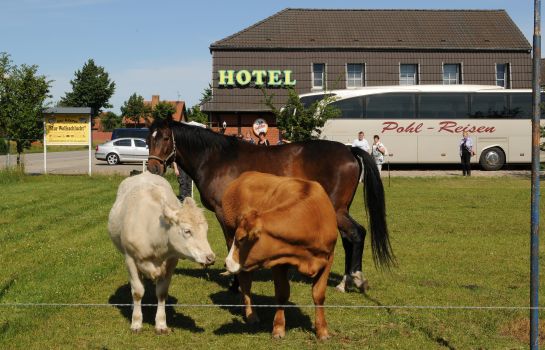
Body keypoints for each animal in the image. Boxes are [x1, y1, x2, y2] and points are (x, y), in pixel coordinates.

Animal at [108, 172, 215, 334]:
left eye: (206, 230)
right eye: (187, 231)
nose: (210, 257)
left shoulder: (171, 261)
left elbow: (162, 292)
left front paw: (161, 323)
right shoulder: (130, 259)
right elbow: (137, 291)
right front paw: (136, 322)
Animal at [146, 120, 392, 292]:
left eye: (166, 137)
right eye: (149, 138)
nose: (152, 168)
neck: (216, 159)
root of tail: (349, 150)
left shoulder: (224, 214)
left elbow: (230, 243)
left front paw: (235, 284)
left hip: (337, 210)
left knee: (357, 234)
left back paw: (355, 278)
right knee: (349, 238)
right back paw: (345, 282)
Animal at [221, 172, 336, 340]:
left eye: (241, 239)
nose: (227, 262)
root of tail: (245, 175)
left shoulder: (328, 258)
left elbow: (319, 294)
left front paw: (322, 331)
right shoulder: (278, 262)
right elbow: (282, 293)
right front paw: (278, 328)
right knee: (245, 283)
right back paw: (251, 314)